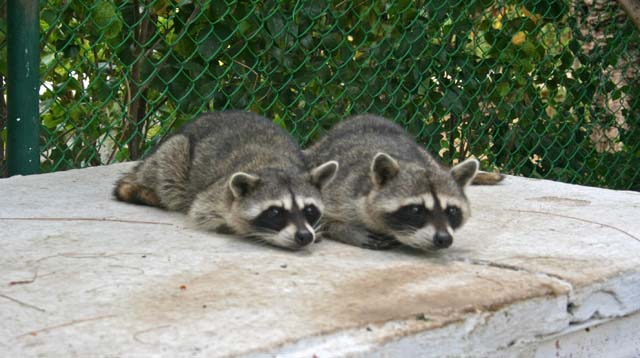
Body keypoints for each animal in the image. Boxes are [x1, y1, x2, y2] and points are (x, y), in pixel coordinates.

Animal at [114, 110, 340, 250]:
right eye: (275, 212)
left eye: (309, 210)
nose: (304, 236)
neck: (277, 165)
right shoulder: (215, 195)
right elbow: (204, 213)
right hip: (171, 156)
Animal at [306, 115, 504, 252]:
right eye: (416, 210)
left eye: (452, 210)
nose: (444, 239)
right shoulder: (341, 189)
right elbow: (323, 217)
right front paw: (343, 229)